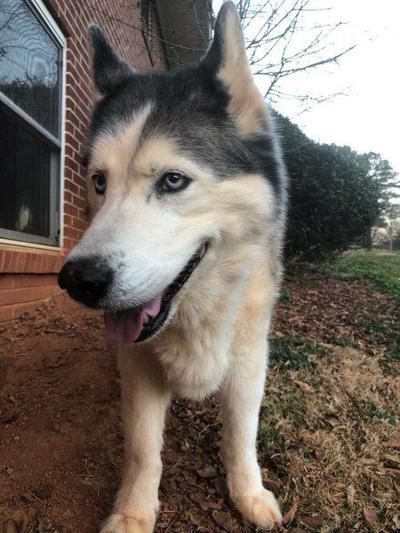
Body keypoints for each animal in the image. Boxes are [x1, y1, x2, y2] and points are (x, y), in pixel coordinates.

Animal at [57, 2, 286, 528]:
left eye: (173, 181)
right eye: (99, 181)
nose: (80, 280)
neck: (193, 315)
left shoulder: (249, 356)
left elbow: (242, 431)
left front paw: (249, 492)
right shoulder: (137, 361)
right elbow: (144, 448)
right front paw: (132, 514)